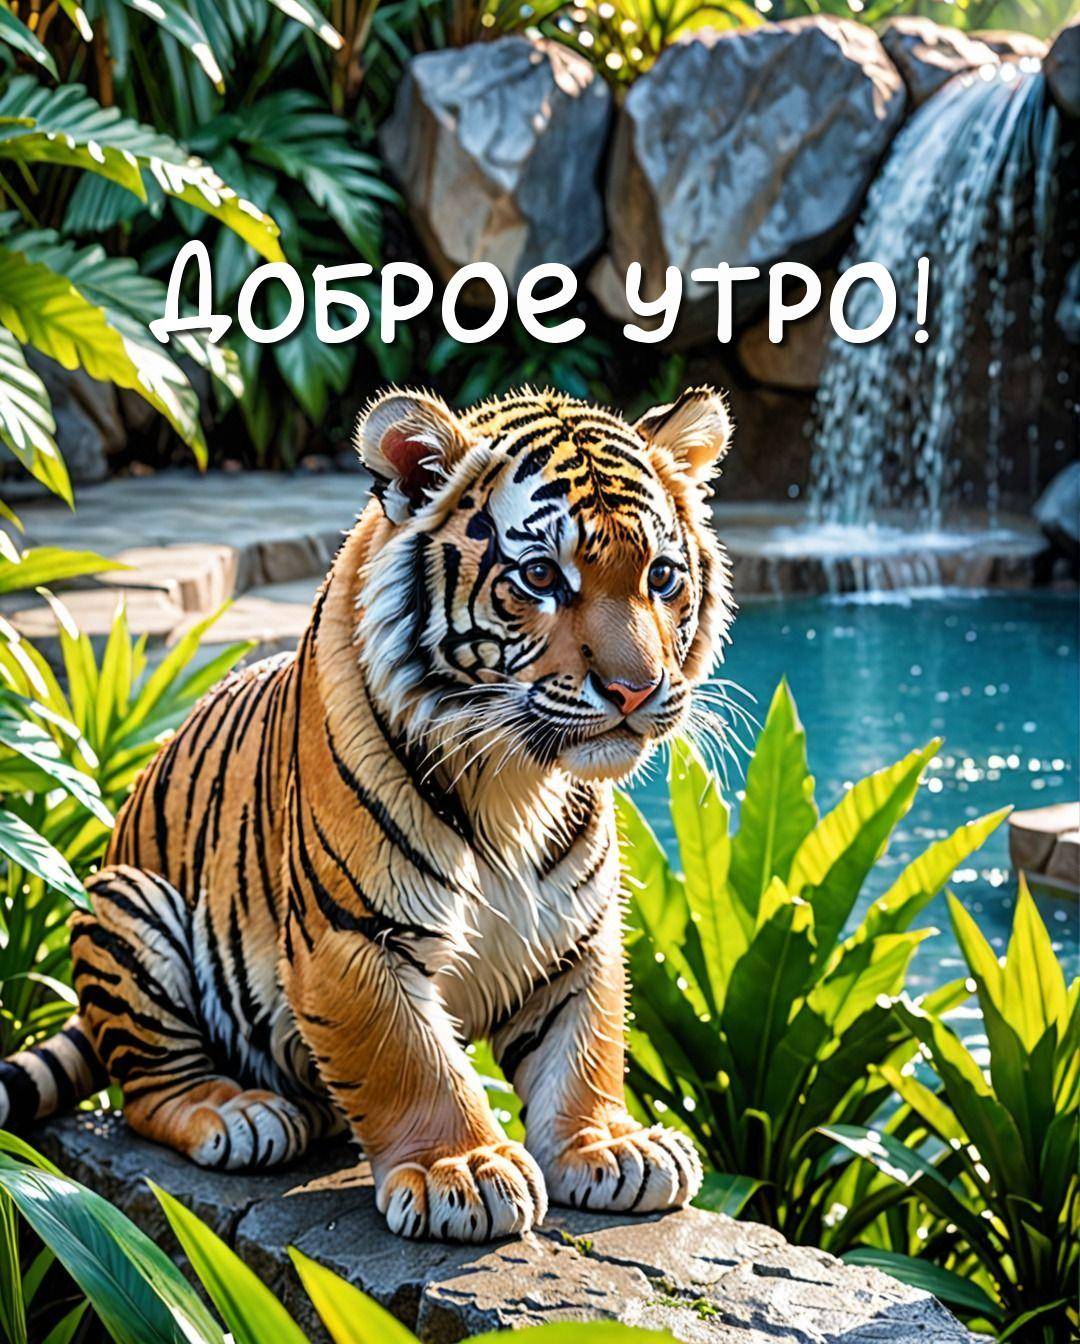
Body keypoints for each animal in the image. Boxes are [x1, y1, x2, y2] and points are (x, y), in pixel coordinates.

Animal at [0, 385, 736, 1243]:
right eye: (541, 575)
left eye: (661, 576)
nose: (636, 690)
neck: (517, 782)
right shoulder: (350, 934)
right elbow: (411, 1060)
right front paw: (465, 1170)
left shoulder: (576, 934)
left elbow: (586, 1043)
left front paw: (610, 1146)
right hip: (123, 902)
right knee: (148, 1091)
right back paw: (240, 1115)